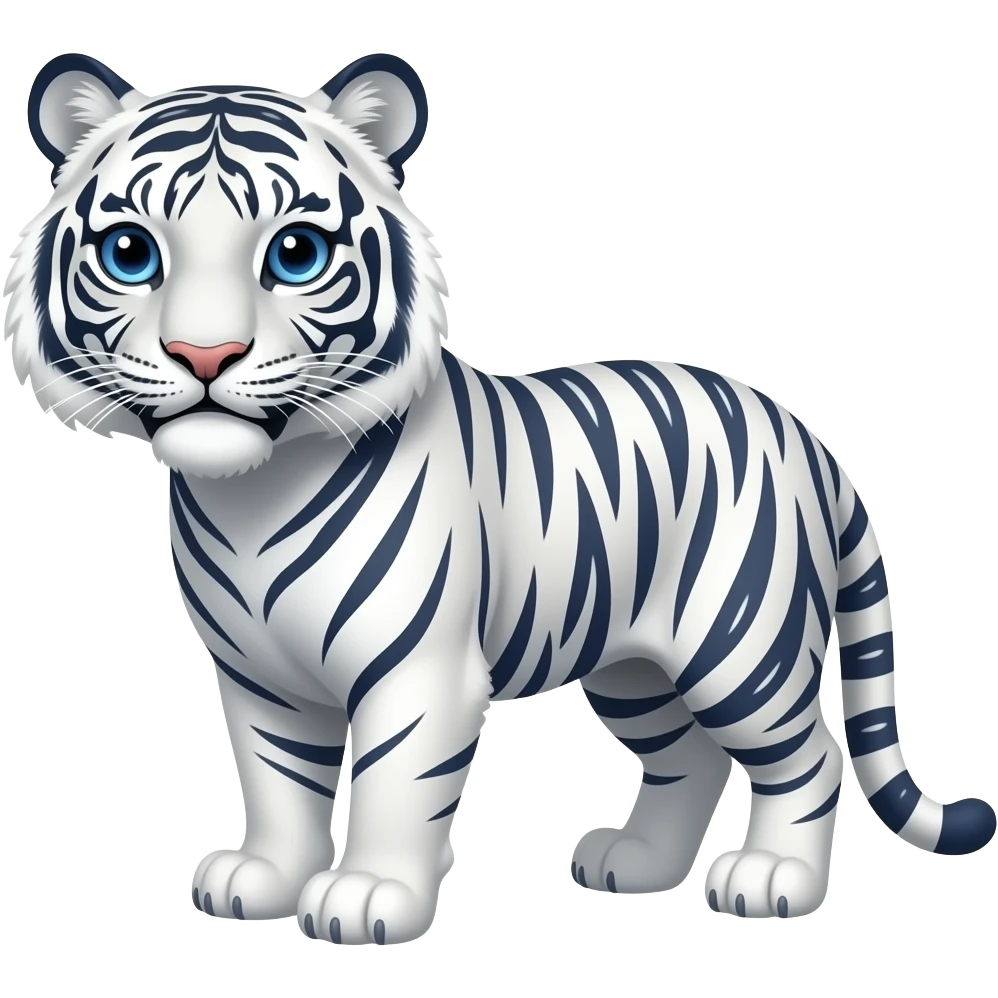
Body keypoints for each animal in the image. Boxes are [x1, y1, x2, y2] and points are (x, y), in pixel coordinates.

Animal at [3, 50, 994, 946]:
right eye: (131, 253)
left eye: (296, 253)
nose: (205, 356)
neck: (253, 495)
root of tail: (803, 435)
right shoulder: (260, 679)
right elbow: (279, 783)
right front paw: (263, 880)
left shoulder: (419, 670)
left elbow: (395, 786)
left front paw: (366, 900)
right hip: (633, 666)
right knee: (690, 757)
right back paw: (634, 864)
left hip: (740, 644)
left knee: (811, 757)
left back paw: (772, 879)